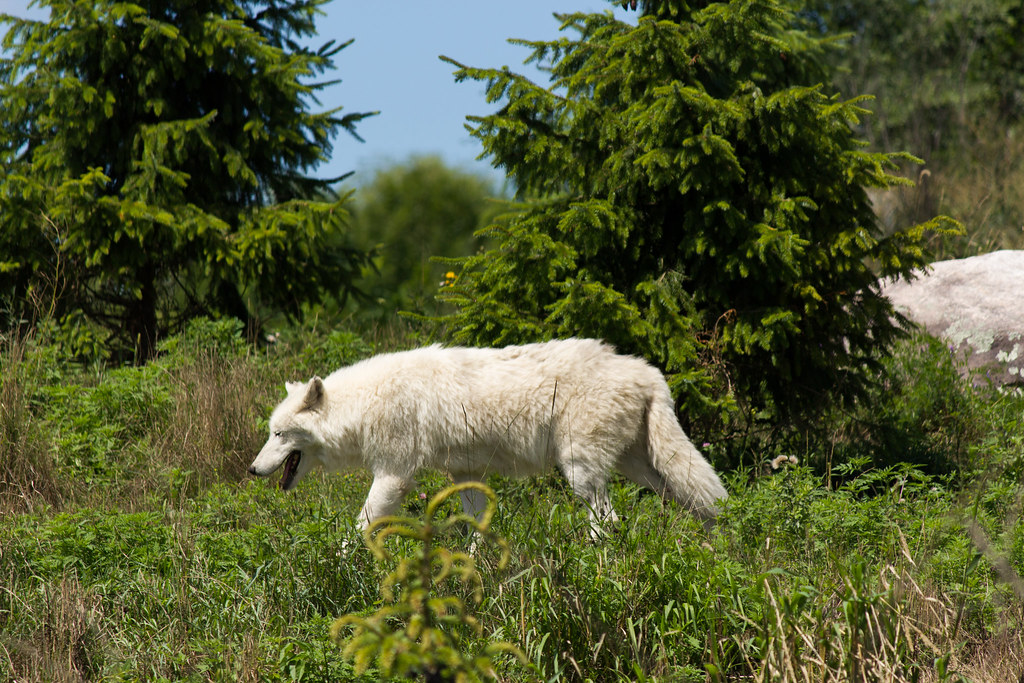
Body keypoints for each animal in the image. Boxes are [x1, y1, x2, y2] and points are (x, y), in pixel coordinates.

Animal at [248, 339, 728, 537]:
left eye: (278, 434)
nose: (252, 470)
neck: (363, 404)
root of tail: (649, 373)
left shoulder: (393, 476)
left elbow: (360, 528)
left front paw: (339, 558)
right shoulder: (466, 475)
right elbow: (477, 527)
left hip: (581, 472)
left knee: (608, 522)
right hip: (646, 471)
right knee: (697, 502)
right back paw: (711, 547)